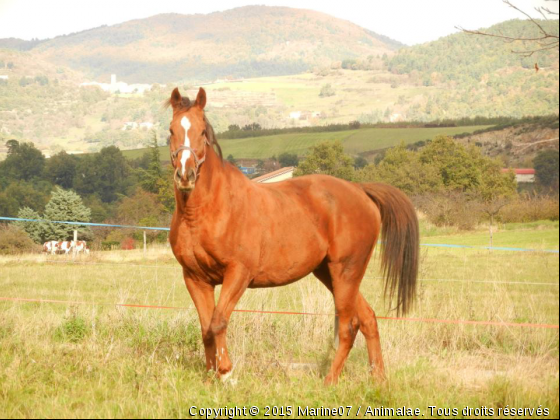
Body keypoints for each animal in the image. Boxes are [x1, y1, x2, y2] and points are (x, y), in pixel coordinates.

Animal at [168, 87, 418, 386]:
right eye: (171, 130)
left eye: (202, 131)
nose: (185, 175)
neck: (207, 211)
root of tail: (360, 190)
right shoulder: (195, 278)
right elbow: (206, 328)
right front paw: (210, 377)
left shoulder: (238, 274)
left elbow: (218, 322)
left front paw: (226, 373)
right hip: (329, 273)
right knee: (367, 318)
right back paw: (378, 378)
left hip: (346, 271)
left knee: (348, 326)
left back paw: (330, 381)